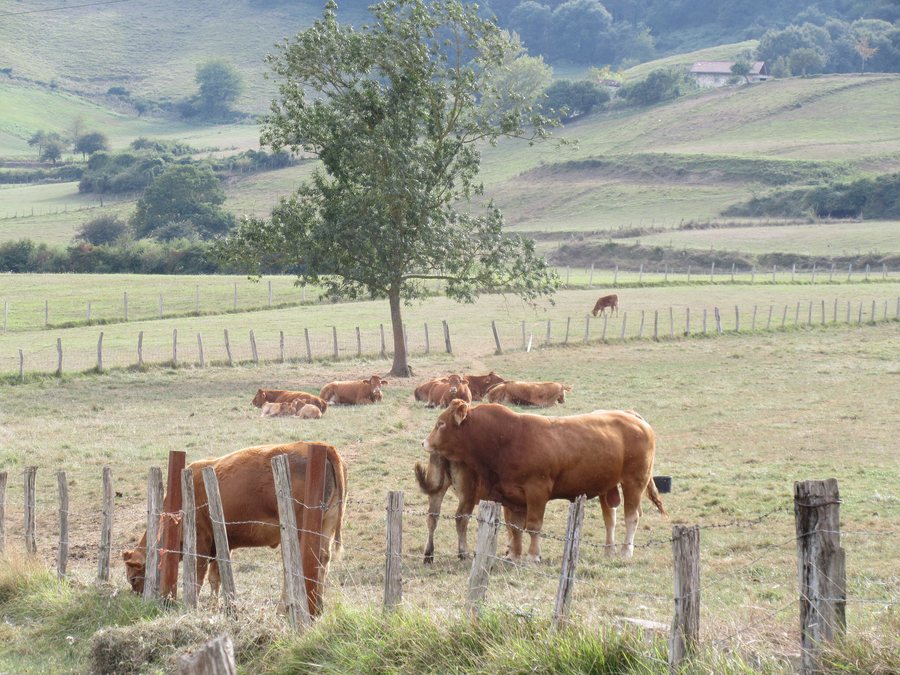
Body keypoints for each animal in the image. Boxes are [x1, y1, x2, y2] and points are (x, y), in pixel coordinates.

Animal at [122, 442, 347, 615]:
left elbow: (198, 575)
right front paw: (219, 605)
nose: (138, 600)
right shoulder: (222, 544)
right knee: (322, 562)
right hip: (325, 528)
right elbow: (216, 577)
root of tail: (323, 446)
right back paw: (317, 608)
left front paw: (194, 605)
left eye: (133, 578)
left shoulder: (201, 540)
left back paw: (286, 609)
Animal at [422, 401, 666, 561]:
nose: (424, 442)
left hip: (634, 481)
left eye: (441, 424)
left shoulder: (536, 491)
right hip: (608, 486)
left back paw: (626, 551)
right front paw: (514, 554)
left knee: (632, 516)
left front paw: (532, 556)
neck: (506, 438)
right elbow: (515, 527)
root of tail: (632, 416)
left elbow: (533, 526)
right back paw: (609, 550)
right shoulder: (512, 496)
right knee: (610, 519)